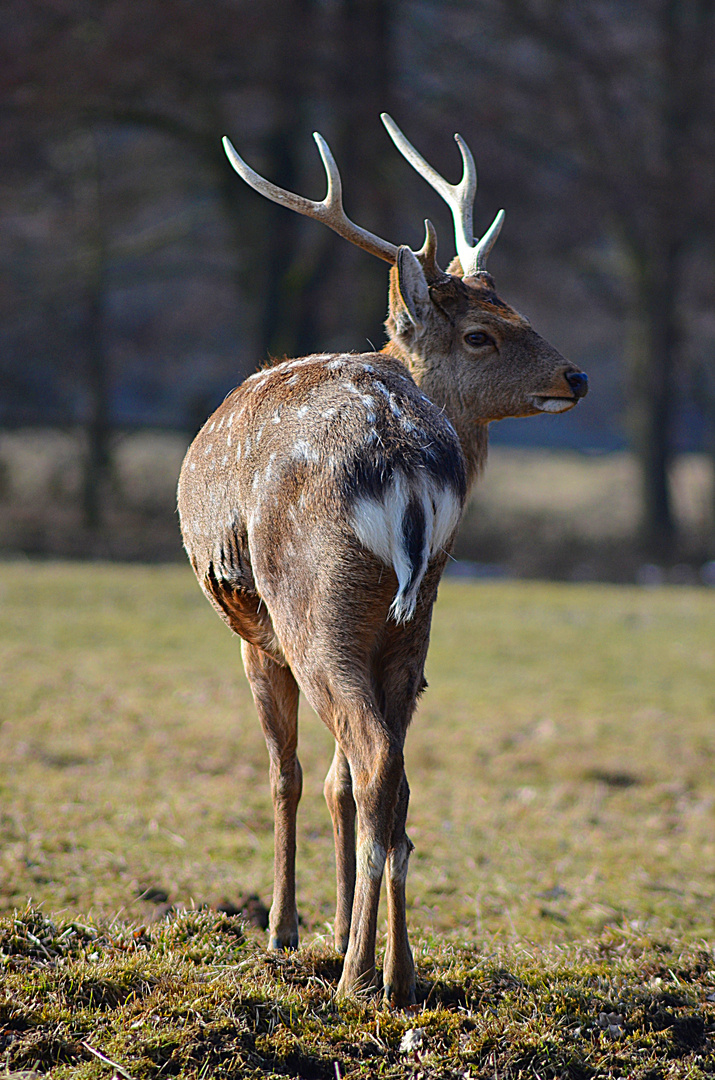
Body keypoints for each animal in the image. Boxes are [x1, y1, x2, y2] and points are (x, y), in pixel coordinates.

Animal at [178, 113, 587, 1006]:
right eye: (484, 329)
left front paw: (286, 932)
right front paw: (335, 927)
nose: (575, 375)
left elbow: (288, 774)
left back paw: (356, 978)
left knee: (366, 763)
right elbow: (335, 784)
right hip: (414, 615)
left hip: (312, 604)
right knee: (392, 777)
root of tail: (399, 454)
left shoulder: (253, 635)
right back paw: (397, 970)